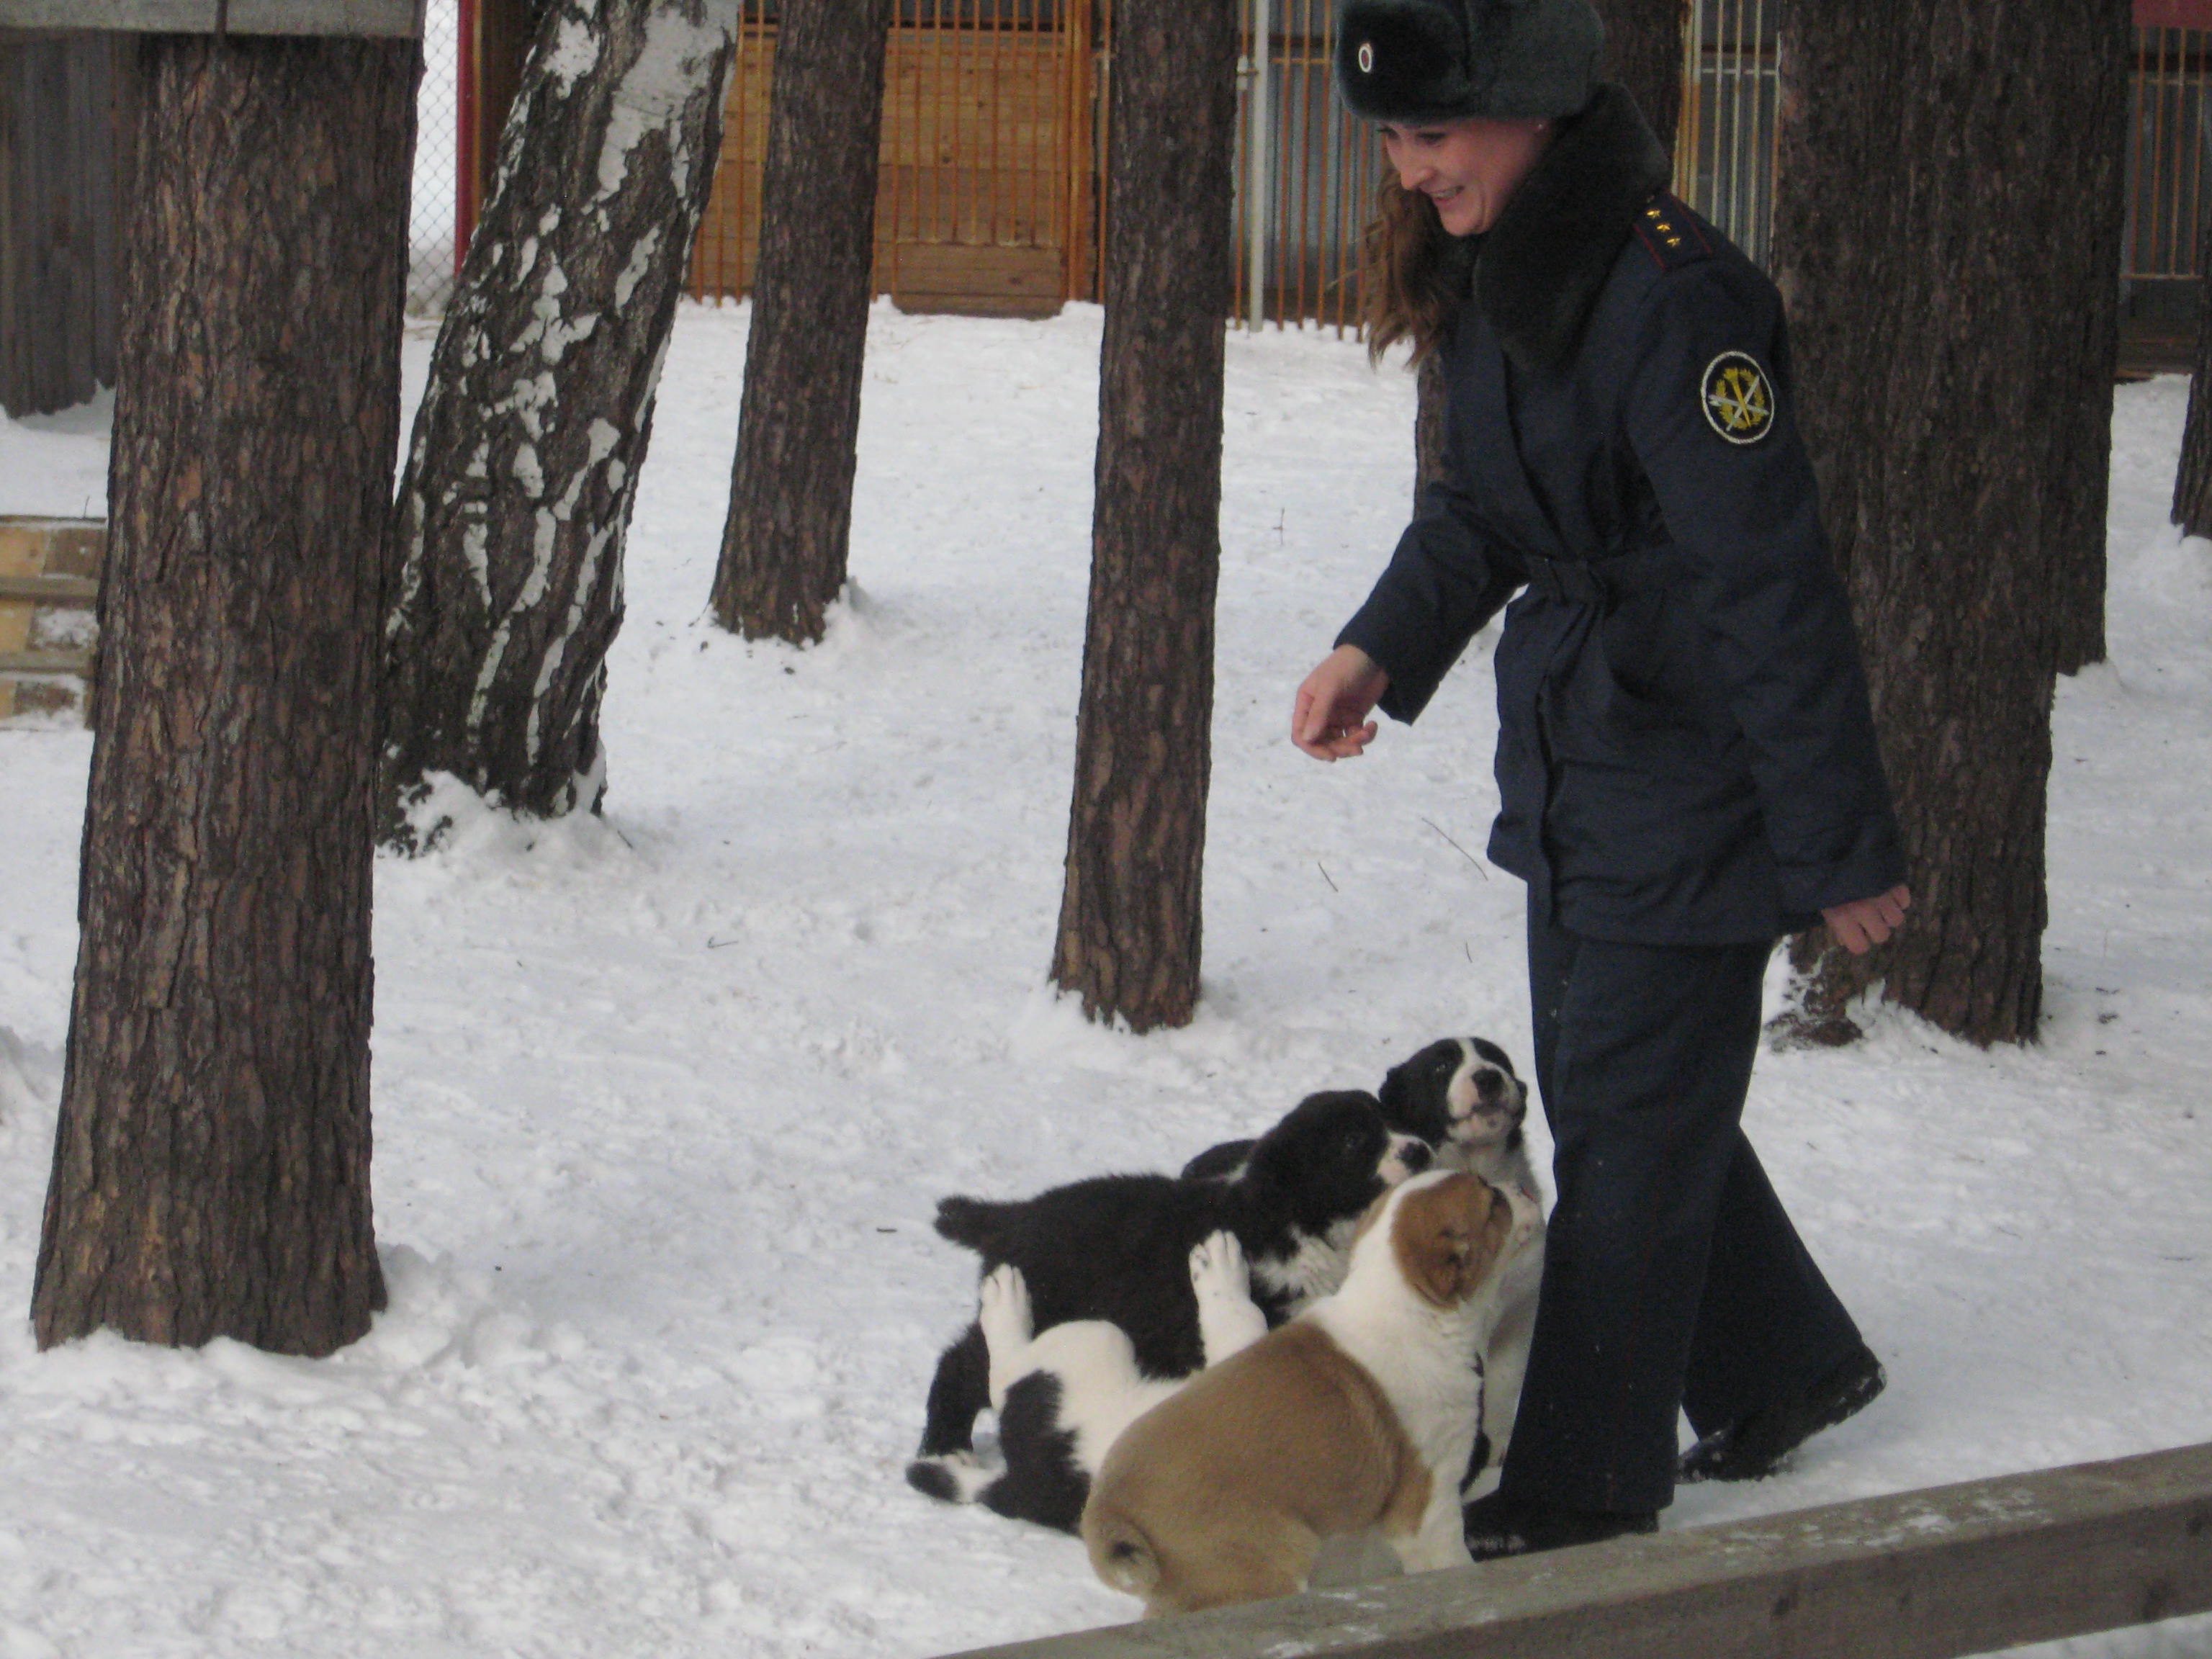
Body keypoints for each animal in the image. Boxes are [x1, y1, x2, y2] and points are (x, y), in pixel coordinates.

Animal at [902, 1092, 1433, 1503]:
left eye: (1390, 1120)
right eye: (1353, 1142)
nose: (1422, 1151)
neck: (1293, 1219)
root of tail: (1014, 1217)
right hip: (1054, 1308)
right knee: (965, 1366)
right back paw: (946, 1446)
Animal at [1084, 1168, 1539, 1627]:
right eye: (1493, 1201)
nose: (1525, 1187)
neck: (1404, 1304)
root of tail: (1110, 1514)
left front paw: (1219, 1273)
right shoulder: (1427, 1507)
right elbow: (1449, 1561)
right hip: (1264, 1568)